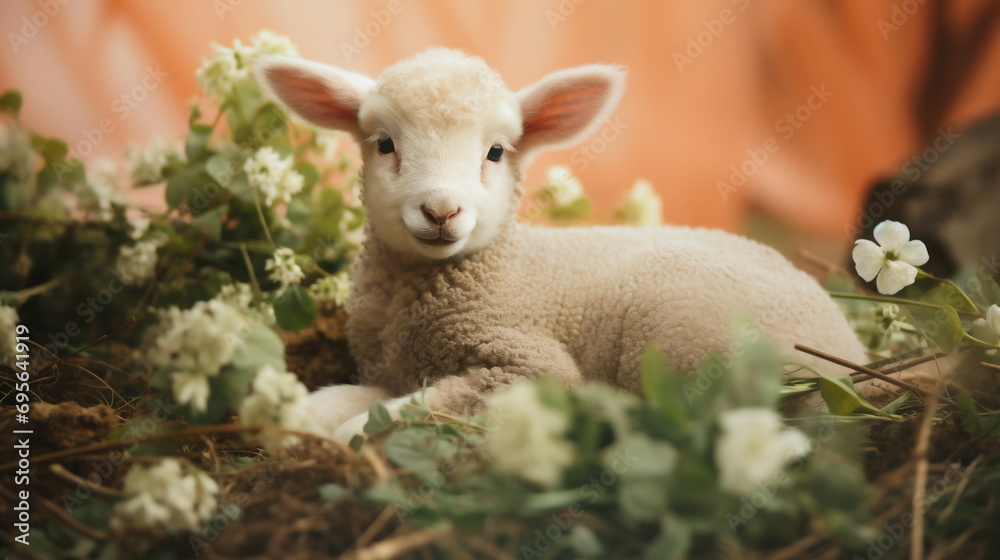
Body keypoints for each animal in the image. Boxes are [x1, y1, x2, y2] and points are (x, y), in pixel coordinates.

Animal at [255, 48, 873, 442]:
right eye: (384, 144)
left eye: (496, 152)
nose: (441, 211)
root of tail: (854, 352)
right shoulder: (390, 373)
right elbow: (321, 408)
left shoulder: (529, 368)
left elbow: (373, 424)